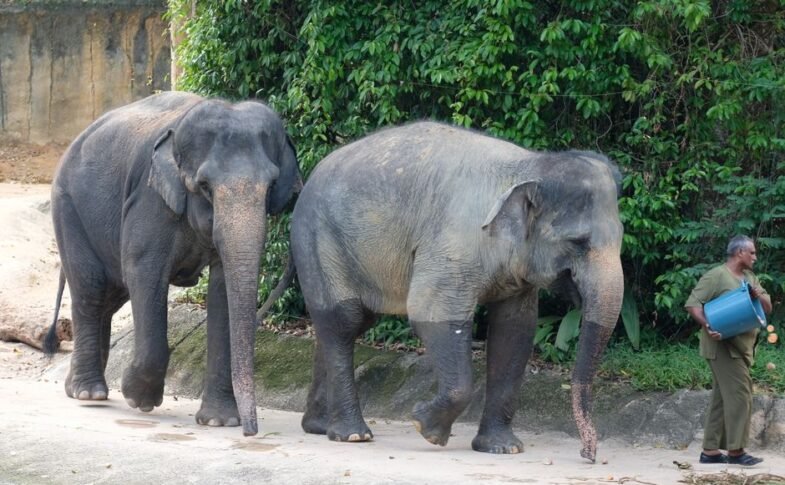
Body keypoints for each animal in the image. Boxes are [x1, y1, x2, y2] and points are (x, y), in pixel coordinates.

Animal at [42, 91, 300, 437]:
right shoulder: (150, 200)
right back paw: (89, 393)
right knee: (91, 289)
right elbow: (143, 272)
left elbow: (222, 290)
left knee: (109, 298)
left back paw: (79, 386)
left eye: (271, 186)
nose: (250, 432)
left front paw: (219, 421)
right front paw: (139, 399)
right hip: (67, 206)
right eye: (204, 186)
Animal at [289, 121, 623, 461]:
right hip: (318, 241)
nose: (588, 454)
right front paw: (424, 427)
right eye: (578, 242)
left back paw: (319, 427)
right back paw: (353, 435)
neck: (527, 167)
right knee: (344, 320)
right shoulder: (451, 244)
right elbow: (430, 313)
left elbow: (514, 330)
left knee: (346, 324)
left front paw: (503, 448)